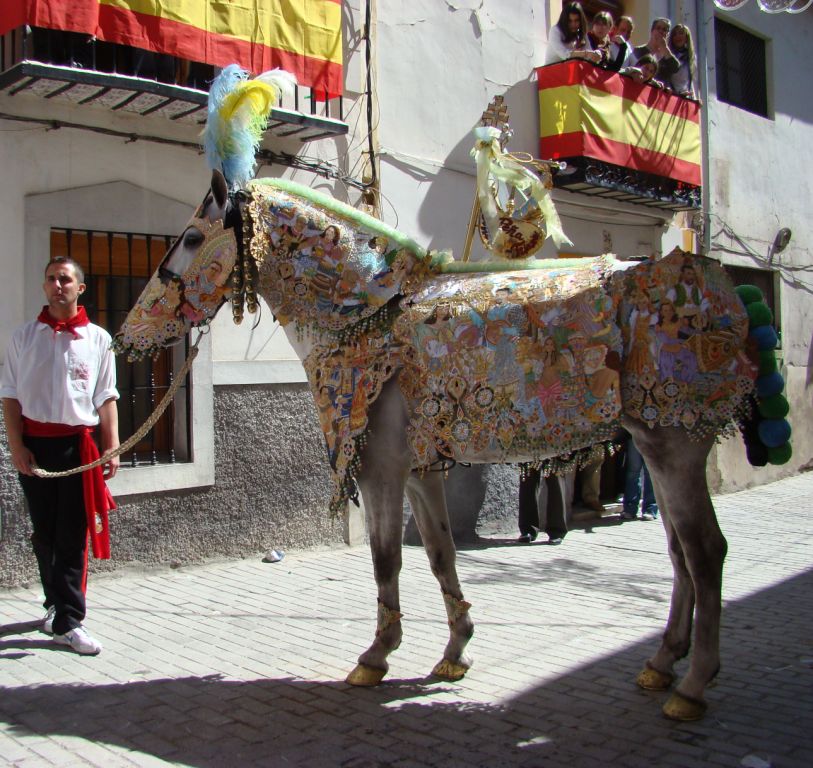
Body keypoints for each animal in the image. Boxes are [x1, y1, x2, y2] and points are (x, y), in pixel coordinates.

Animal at [111, 69, 788, 724]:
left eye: (192, 238)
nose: (127, 332)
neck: (369, 316)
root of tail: (718, 285)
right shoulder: (420, 472)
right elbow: (439, 554)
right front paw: (454, 652)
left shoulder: (380, 471)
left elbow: (386, 557)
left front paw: (376, 656)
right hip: (657, 446)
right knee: (679, 553)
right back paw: (661, 663)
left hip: (674, 446)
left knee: (704, 552)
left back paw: (691, 686)